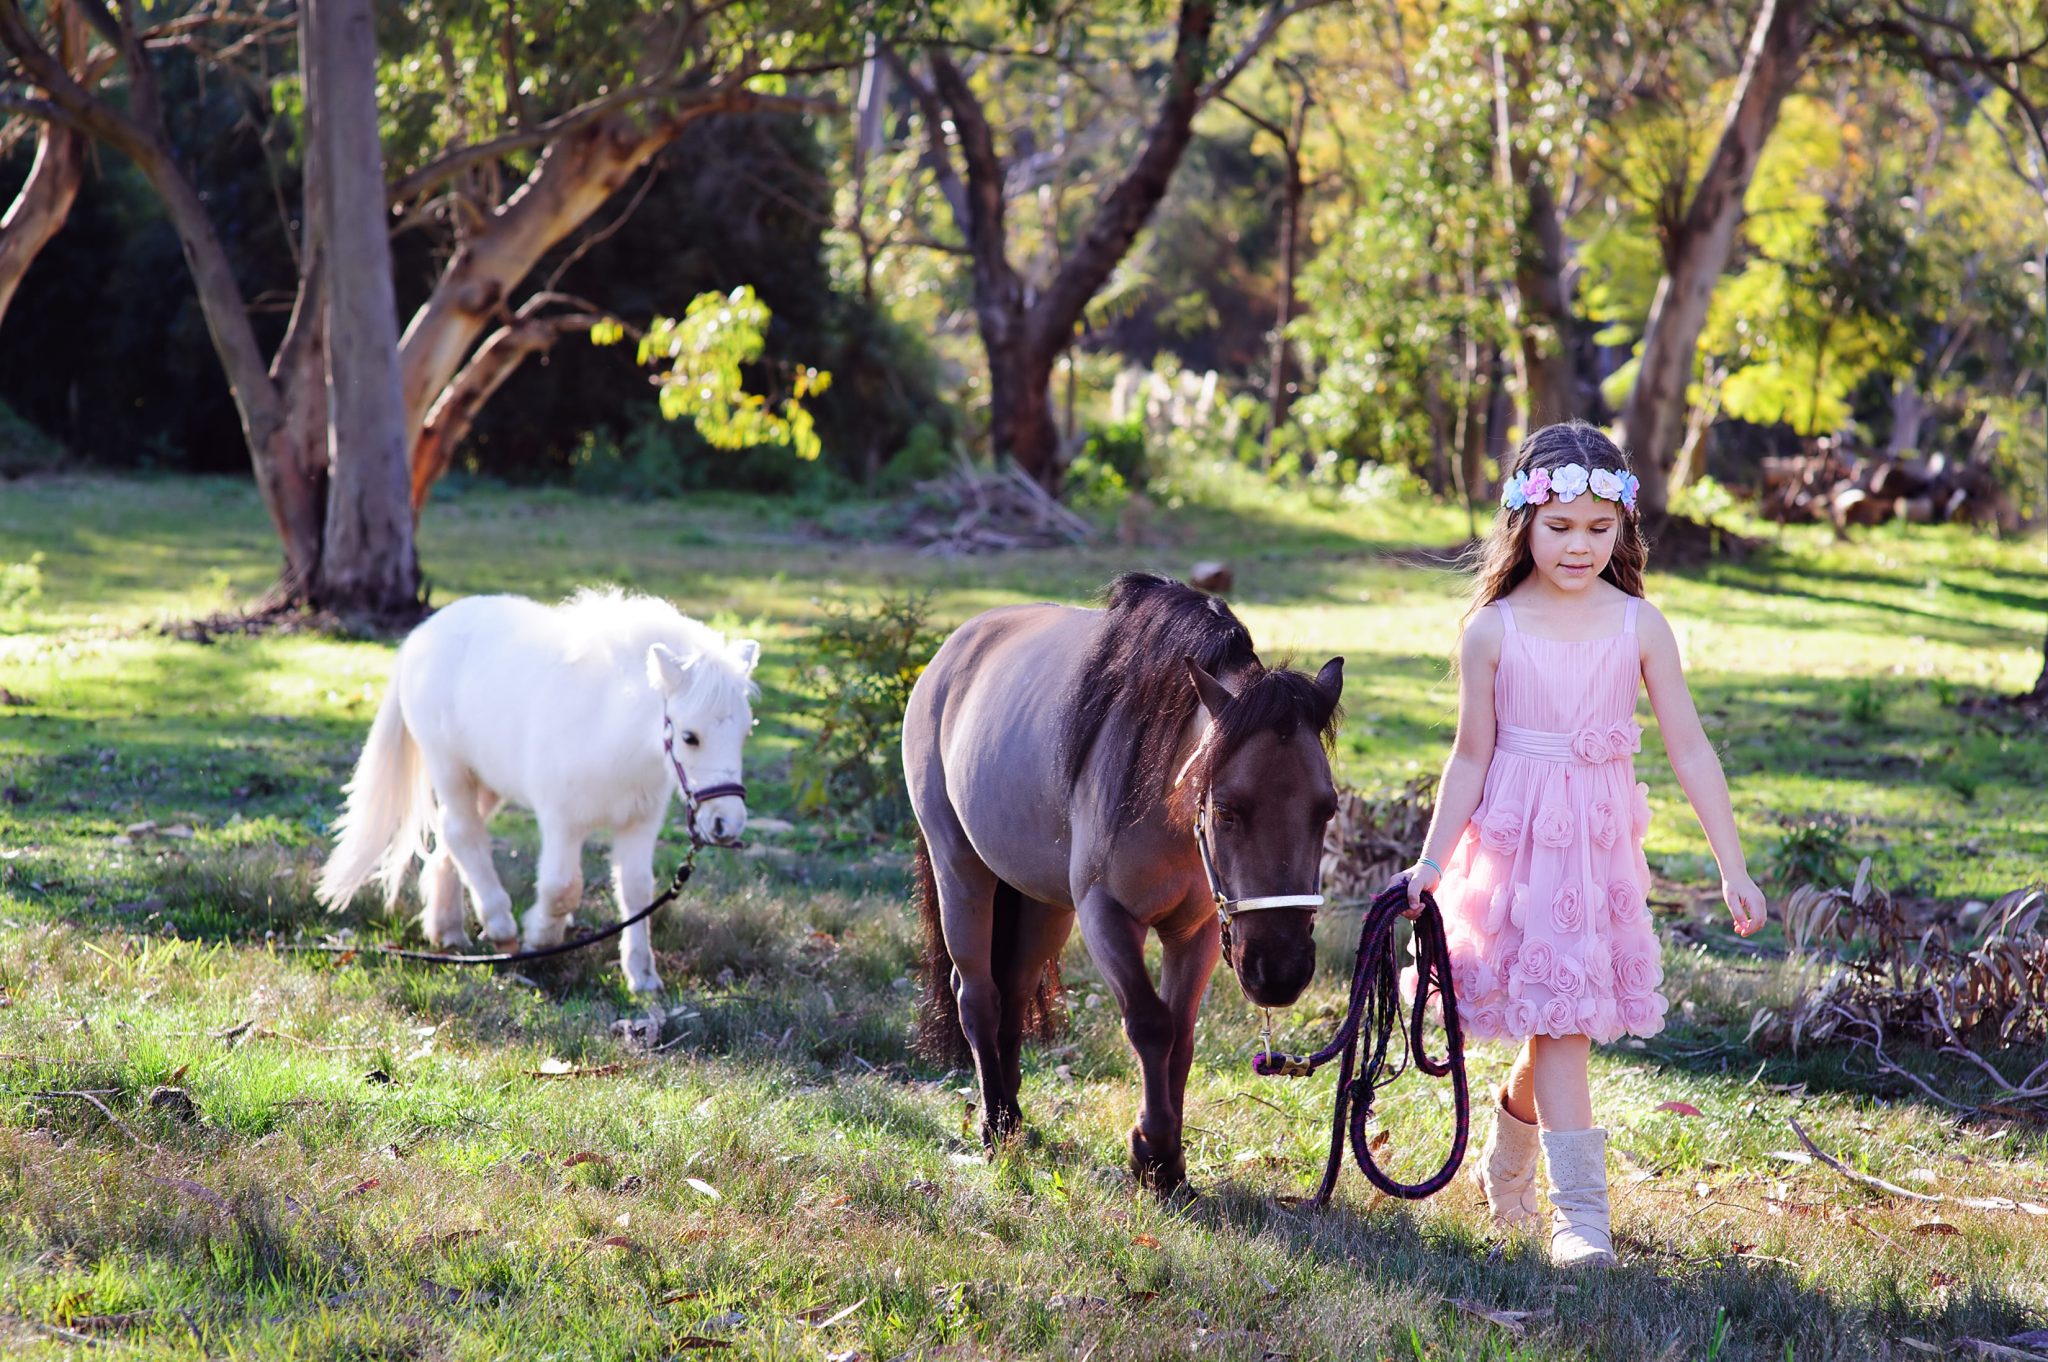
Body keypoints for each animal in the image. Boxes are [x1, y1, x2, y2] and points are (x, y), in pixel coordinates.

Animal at [315, 588, 759, 992]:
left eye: (745, 732)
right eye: (689, 737)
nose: (727, 823)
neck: (611, 728)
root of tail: (421, 634)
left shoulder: (638, 824)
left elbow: (636, 891)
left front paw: (643, 977)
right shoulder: (562, 821)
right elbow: (562, 888)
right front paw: (541, 939)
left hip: (487, 781)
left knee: (451, 839)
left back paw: (448, 931)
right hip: (449, 767)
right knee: (461, 831)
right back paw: (501, 929)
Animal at [904, 572, 1342, 1190]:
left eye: (1326, 809)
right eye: (1227, 809)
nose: (1279, 971)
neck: (1165, 804)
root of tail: (949, 654)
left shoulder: (1197, 930)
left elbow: (1181, 1034)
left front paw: (1172, 1161)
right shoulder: (1106, 915)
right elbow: (1151, 1024)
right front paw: (1152, 1151)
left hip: (1043, 903)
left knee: (1013, 991)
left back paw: (1012, 1119)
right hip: (961, 872)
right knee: (978, 995)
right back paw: (993, 1127)